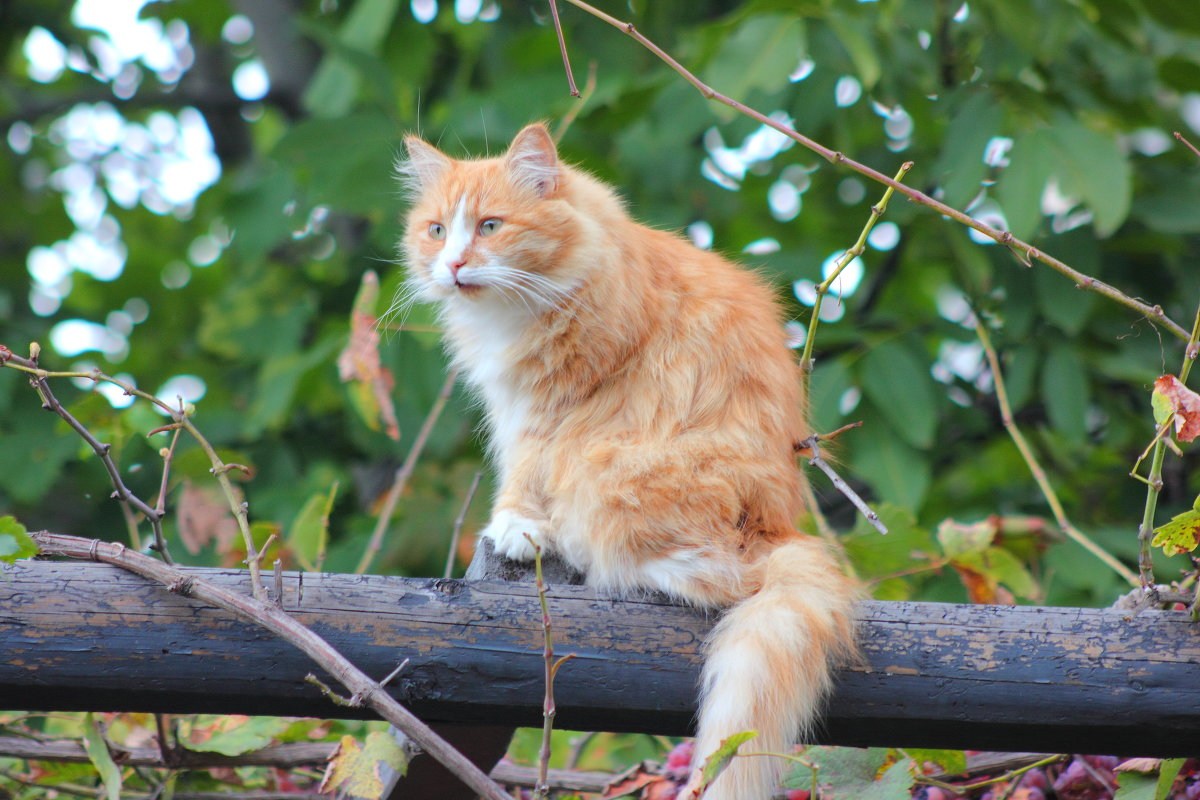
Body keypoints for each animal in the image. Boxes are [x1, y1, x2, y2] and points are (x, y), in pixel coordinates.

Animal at [398, 125, 859, 800]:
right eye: (436, 230)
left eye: (490, 226)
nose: (454, 264)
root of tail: (780, 527)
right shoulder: (516, 406)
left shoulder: (551, 410)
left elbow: (523, 475)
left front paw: (517, 528)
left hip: (612, 472)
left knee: (716, 576)